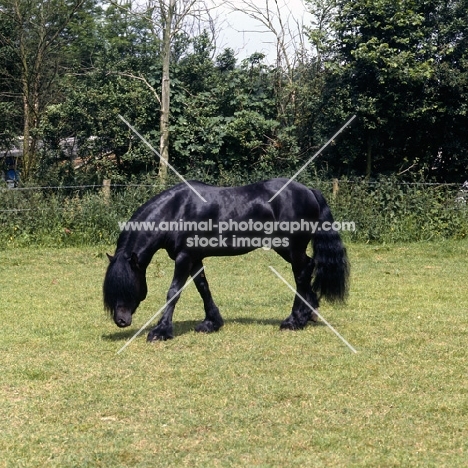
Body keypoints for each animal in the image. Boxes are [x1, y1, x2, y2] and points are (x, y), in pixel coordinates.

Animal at [104, 178, 350, 340]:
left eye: (128, 286)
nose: (120, 321)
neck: (176, 211)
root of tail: (308, 190)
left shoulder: (184, 258)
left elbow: (173, 292)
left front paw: (160, 331)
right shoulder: (194, 258)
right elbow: (203, 287)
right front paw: (211, 323)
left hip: (291, 248)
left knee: (302, 272)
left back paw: (295, 320)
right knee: (307, 269)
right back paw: (309, 313)